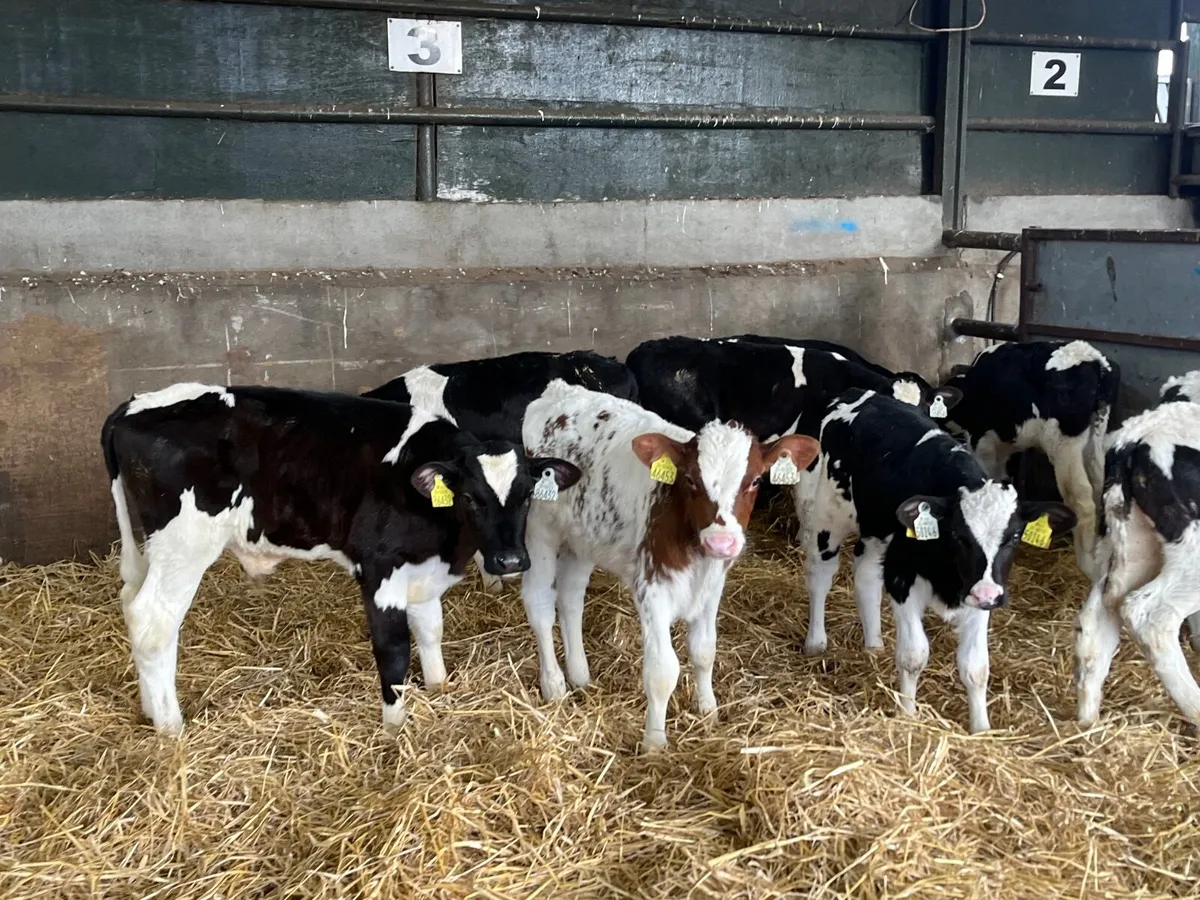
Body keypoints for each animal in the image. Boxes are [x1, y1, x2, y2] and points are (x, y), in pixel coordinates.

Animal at [101, 382, 581, 735]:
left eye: (527, 496)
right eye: (469, 497)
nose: (509, 561)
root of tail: (134, 404)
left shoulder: (422, 569)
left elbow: (431, 630)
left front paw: (439, 690)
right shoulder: (380, 570)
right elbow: (394, 652)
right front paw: (394, 730)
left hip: (154, 548)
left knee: (131, 605)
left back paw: (150, 709)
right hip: (184, 545)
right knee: (152, 622)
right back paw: (171, 727)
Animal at [520, 379, 820, 751]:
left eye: (754, 481)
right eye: (690, 480)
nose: (721, 542)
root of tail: (560, 390)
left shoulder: (712, 587)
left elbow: (704, 651)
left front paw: (708, 712)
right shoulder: (653, 590)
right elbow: (662, 671)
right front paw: (654, 743)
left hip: (583, 537)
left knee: (571, 598)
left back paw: (579, 674)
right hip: (539, 530)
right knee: (540, 605)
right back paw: (554, 685)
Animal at [805, 388, 1075, 733]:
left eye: (1014, 536)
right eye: (958, 534)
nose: (987, 594)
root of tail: (859, 393)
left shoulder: (980, 592)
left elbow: (976, 666)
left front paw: (981, 729)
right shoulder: (902, 578)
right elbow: (913, 655)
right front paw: (908, 716)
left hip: (876, 532)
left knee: (865, 576)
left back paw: (874, 645)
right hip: (828, 515)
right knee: (821, 574)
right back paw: (816, 641)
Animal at [941, 340, 1119, 580]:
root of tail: (1094, 360)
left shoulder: (982, 441)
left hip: (1064, 444)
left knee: (1081, 499)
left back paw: (1087, 564)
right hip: (1095, 440)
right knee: (1100, 488)